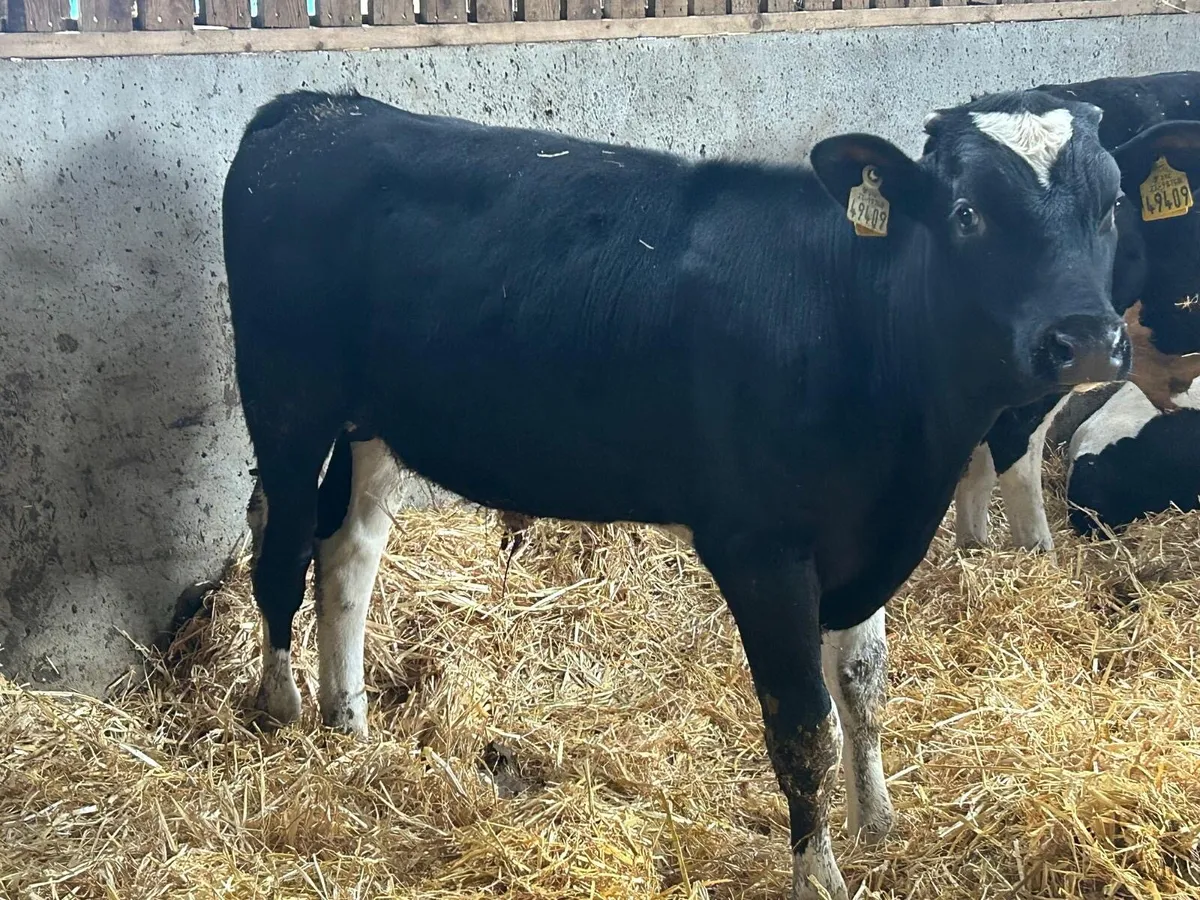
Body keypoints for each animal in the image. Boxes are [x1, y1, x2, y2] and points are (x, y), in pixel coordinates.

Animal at [223, 88, 1152, 899]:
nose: (1086, 340)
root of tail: (312, 109)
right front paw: (819, 878)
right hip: (287, 400)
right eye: (967, 214)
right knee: (282, 547)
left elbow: (863, 686)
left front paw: (880, 823)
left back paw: (349, 720)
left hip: (374, 422)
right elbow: (803, 727)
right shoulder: (761, 550)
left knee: (348, 551)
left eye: (1110, 204)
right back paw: (282, 703)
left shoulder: (866, 535)